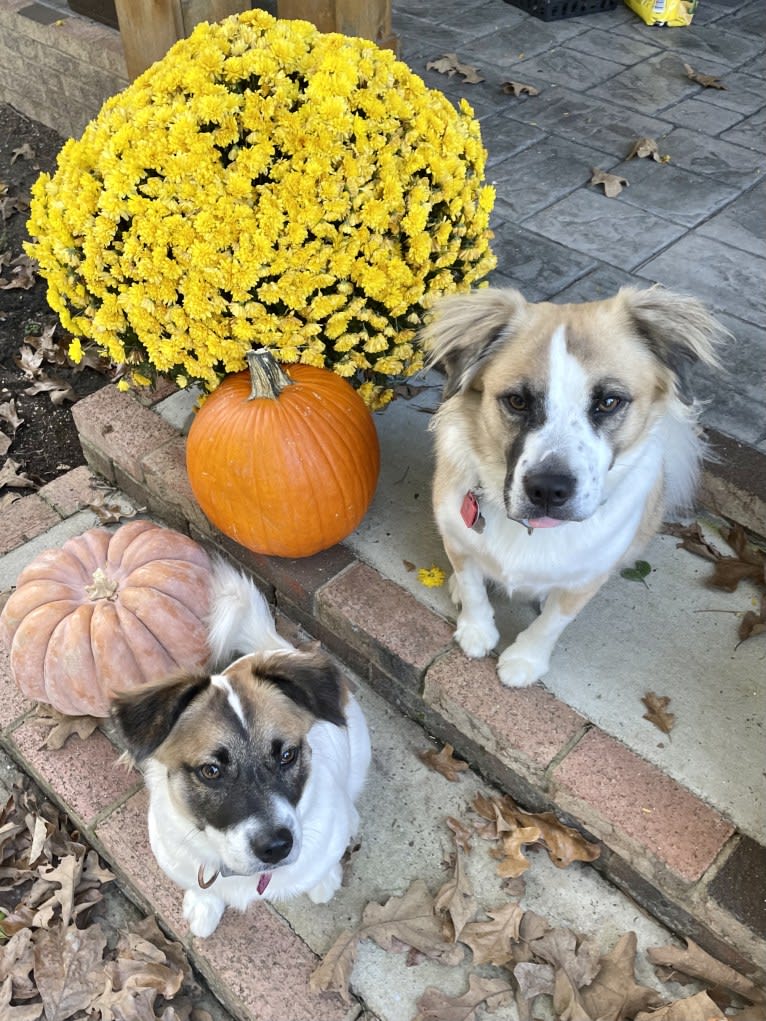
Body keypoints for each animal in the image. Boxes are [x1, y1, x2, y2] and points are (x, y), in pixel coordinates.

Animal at [110, 563, 371, 935]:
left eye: (287, 755)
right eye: (211, 770)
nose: (276, 847)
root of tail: (277, 650)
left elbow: (323, 863)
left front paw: (325, 879)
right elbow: (201, 887)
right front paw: (204, 905)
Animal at [422, 283, 727, 690]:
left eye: (610, 401)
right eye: (517, 400)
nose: (548, 490)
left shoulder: (587, 577)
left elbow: (552, 623)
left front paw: (525, 660)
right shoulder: (456, 537)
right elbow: (472, 588)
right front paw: (476, 631)